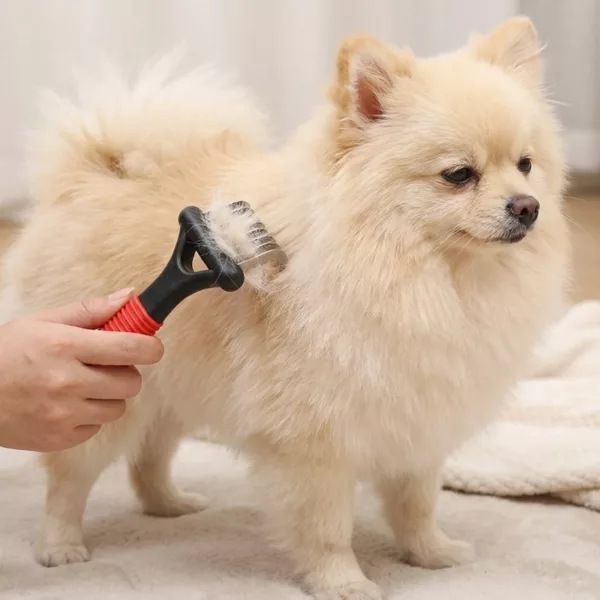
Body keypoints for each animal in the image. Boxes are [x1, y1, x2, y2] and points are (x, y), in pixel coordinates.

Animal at [0, 16, 569, 600]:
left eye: (525, 165)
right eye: (458, 174)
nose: (528, 206)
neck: (425, 278)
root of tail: (96, 173)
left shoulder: (418, 425)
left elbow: (417, 504)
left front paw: (431, 554)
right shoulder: (316, 446)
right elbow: (328, 527)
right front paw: (342, 581)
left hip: (171, 382)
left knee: (149, 455)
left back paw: (168, 504)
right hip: (107, 399)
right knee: (69, 478)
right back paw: (61, 545)